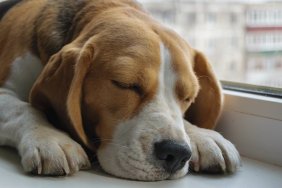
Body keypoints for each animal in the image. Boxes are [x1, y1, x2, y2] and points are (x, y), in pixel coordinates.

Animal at [0, 0, 240, 181]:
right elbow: (23, 109)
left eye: (188, 96)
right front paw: (50, 138)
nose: (177, 152)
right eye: (125, 84)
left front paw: (202, 135)